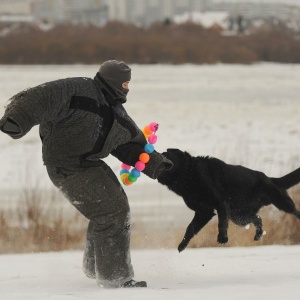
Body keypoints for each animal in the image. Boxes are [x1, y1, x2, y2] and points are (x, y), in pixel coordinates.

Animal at [157, 149, 300, 252]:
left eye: (166, 154)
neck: (189, 174)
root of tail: (270, 178)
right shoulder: (204, 212)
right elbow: (190, 228)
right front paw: (182, 245)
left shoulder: (219, 204)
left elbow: (222, 223)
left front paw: (222, 238)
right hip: (238, 216)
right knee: (258, 218)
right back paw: (258, 235)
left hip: (282, 203)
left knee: (295, 211)